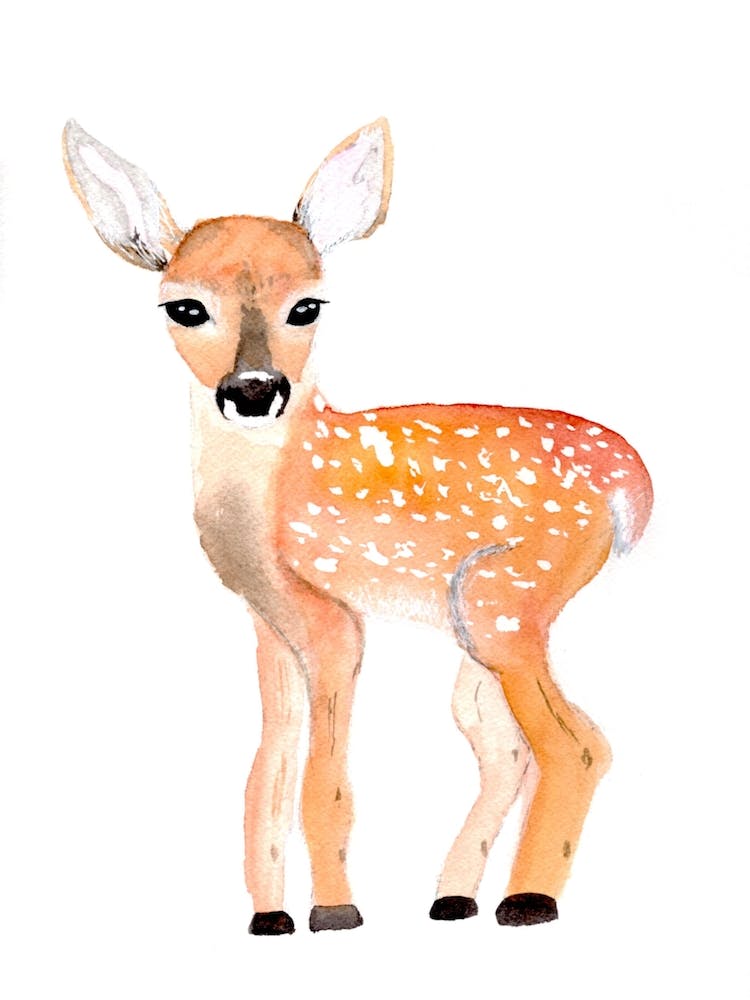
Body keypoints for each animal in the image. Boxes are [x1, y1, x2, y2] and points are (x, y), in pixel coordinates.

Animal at [63, 117, 653, 935]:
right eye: (184, 308)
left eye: (308, 307)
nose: (255, 390)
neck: (279, 493)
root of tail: (634, 481)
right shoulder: (268, 623)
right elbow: (266, 777)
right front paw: (269, 919)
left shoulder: (334, 619)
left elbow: (326, 784)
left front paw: (336, 912)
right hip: (481, 615)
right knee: (504, 744)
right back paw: (454, 899)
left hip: (507, 596)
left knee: (578, 745)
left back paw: (527, 903)